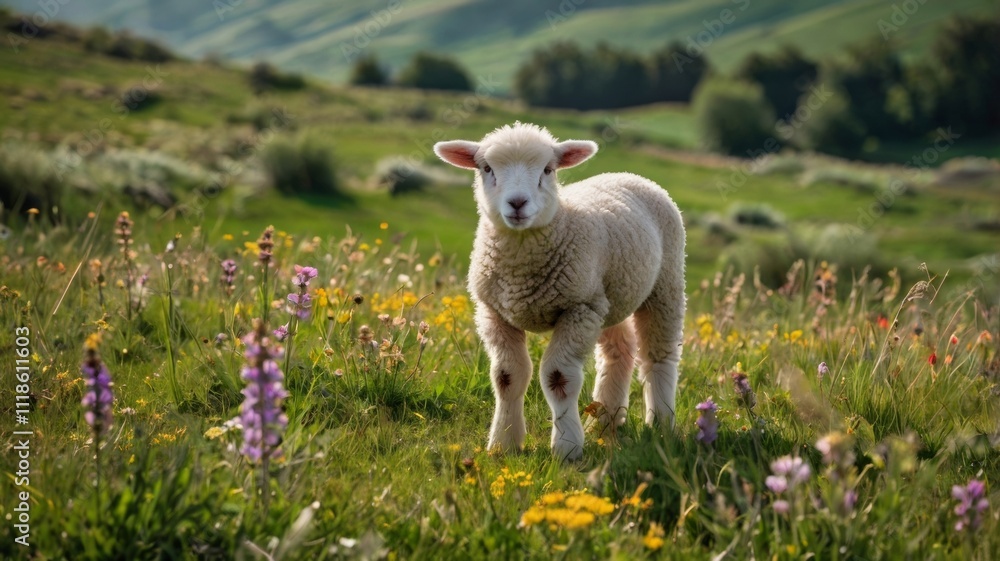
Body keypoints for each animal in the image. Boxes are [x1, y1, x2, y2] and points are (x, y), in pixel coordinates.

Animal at [434, 122, 685, 460]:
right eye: (487, 169)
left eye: (548, 169)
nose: (517, 203)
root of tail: (628, 174)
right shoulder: (494, 312)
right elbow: (507, 376)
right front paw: (503, 443)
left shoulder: (577, 309)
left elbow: (558, 378)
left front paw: (567, 448)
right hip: (609, 296)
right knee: (619, 352)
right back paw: (605, 422)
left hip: (664, 285)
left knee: (658, 357)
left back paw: (660, 425)